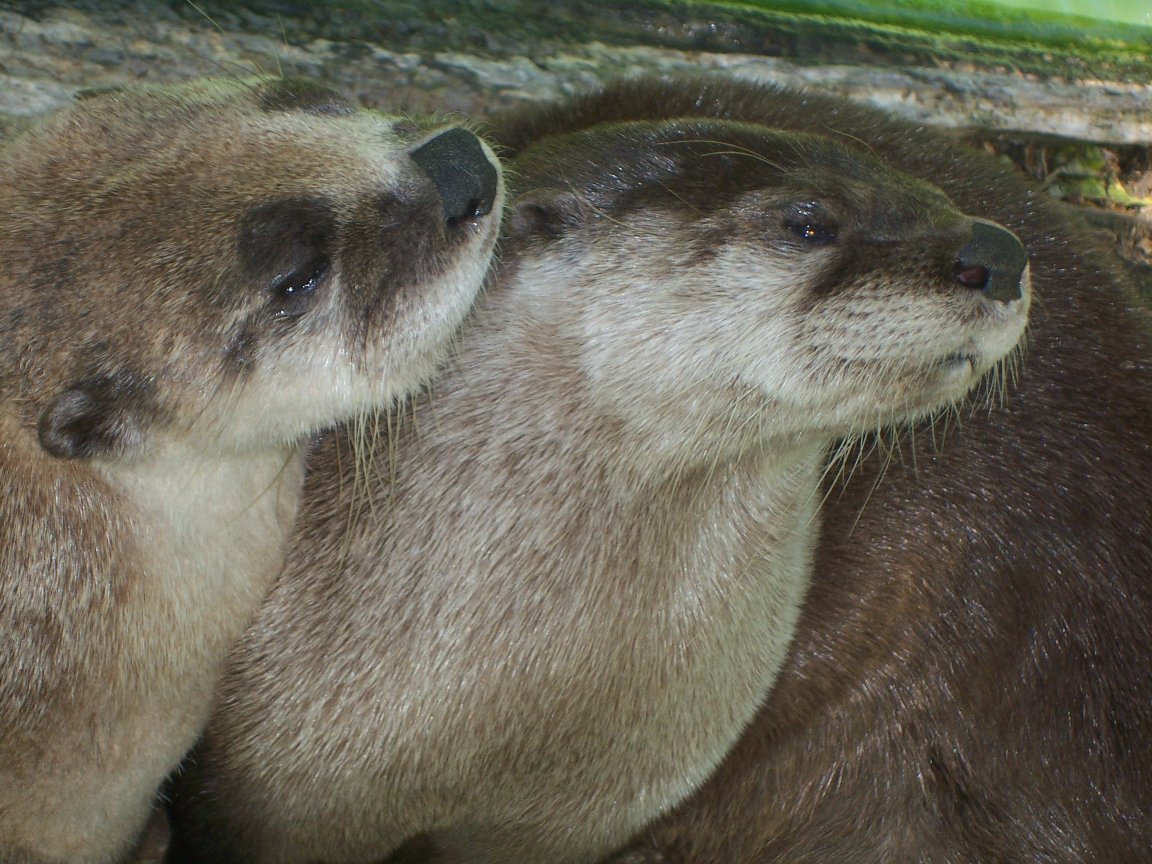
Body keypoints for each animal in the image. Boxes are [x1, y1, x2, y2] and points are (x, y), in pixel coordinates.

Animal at [167, 115, 1030, 863]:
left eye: (928, 190)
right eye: (809, 221)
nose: (1000, 250)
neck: (503, 718)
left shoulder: (571, 825)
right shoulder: (258, 796)